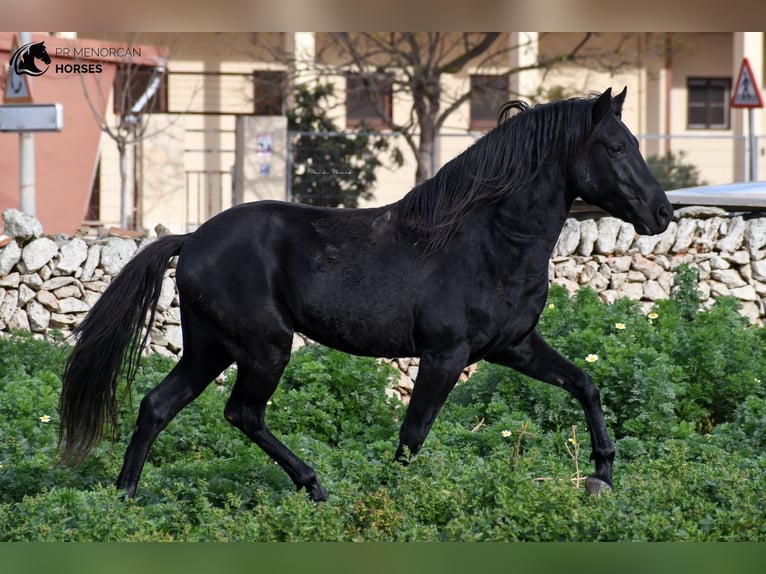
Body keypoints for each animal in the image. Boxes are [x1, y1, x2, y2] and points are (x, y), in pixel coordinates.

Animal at [58, 88, 672, 502]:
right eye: (615, 147)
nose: (662, 212)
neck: (489, 239)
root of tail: (191, 240)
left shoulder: (512, 346)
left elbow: (585, 384)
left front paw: (603, 474)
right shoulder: (445, 355)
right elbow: (414, 432)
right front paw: (389, 498)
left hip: (211, 347)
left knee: (158, 406)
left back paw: (125, 498)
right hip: (264, 347)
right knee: (242, 413)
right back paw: (315, 487)